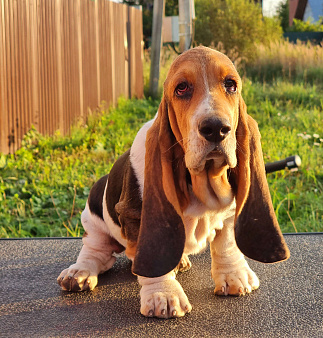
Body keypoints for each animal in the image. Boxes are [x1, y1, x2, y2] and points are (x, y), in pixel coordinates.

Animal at [58, 46, 292, 318]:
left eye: (231, 85)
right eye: (181, 88)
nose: (216, 128)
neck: (201, 180)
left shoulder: (230, 212)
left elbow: (226, 243)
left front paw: (235, 277)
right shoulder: (137, 216)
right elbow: (155, 262)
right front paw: (163, 295)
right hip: (93, 213)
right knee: (95, 250)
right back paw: (78, 273)